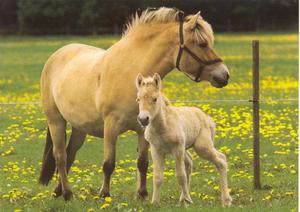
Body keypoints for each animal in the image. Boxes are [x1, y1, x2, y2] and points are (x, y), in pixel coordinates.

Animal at [135, 73, 232, 206]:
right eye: (138, 99)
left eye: (154, 99)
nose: (143, 119)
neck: (163, 127)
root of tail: (207, 118)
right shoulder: (156, 150)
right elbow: (158, 177)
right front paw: (155, 202)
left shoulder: (177, 148)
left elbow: (180, 175)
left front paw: (187, 200)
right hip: (187, 148)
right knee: (192, 161)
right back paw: (183, 197)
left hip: (202, 147)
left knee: (221, 161)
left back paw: (226, 200)